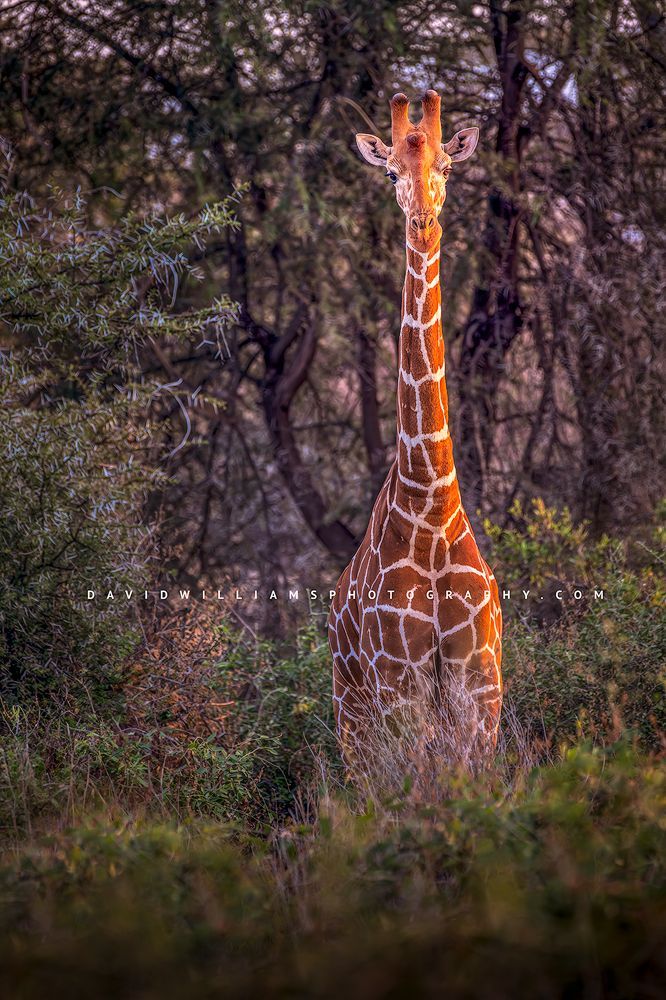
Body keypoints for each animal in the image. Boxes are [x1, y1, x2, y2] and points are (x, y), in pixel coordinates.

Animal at [328, 90, 502, 766]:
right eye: (390, 173)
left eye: (446, 168)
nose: (423, 216)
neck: (431, 507)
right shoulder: (401, 691)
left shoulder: (480, 694)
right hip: (353, 717)